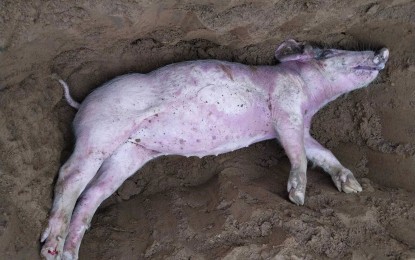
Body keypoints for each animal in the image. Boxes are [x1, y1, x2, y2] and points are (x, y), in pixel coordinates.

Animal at [40, 39, 388, 258]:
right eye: (327, 52)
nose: (383, 50)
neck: (311, 99)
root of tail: (82, 103)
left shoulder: (298, 127)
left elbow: (321, 152)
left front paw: (353, 188)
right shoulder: (285, 109)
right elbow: (298, 153)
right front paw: (298, 197)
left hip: (129, 153)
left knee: (92, 195)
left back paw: (69, 254)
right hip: (100, 131)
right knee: (70, 174)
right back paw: (50, 248)